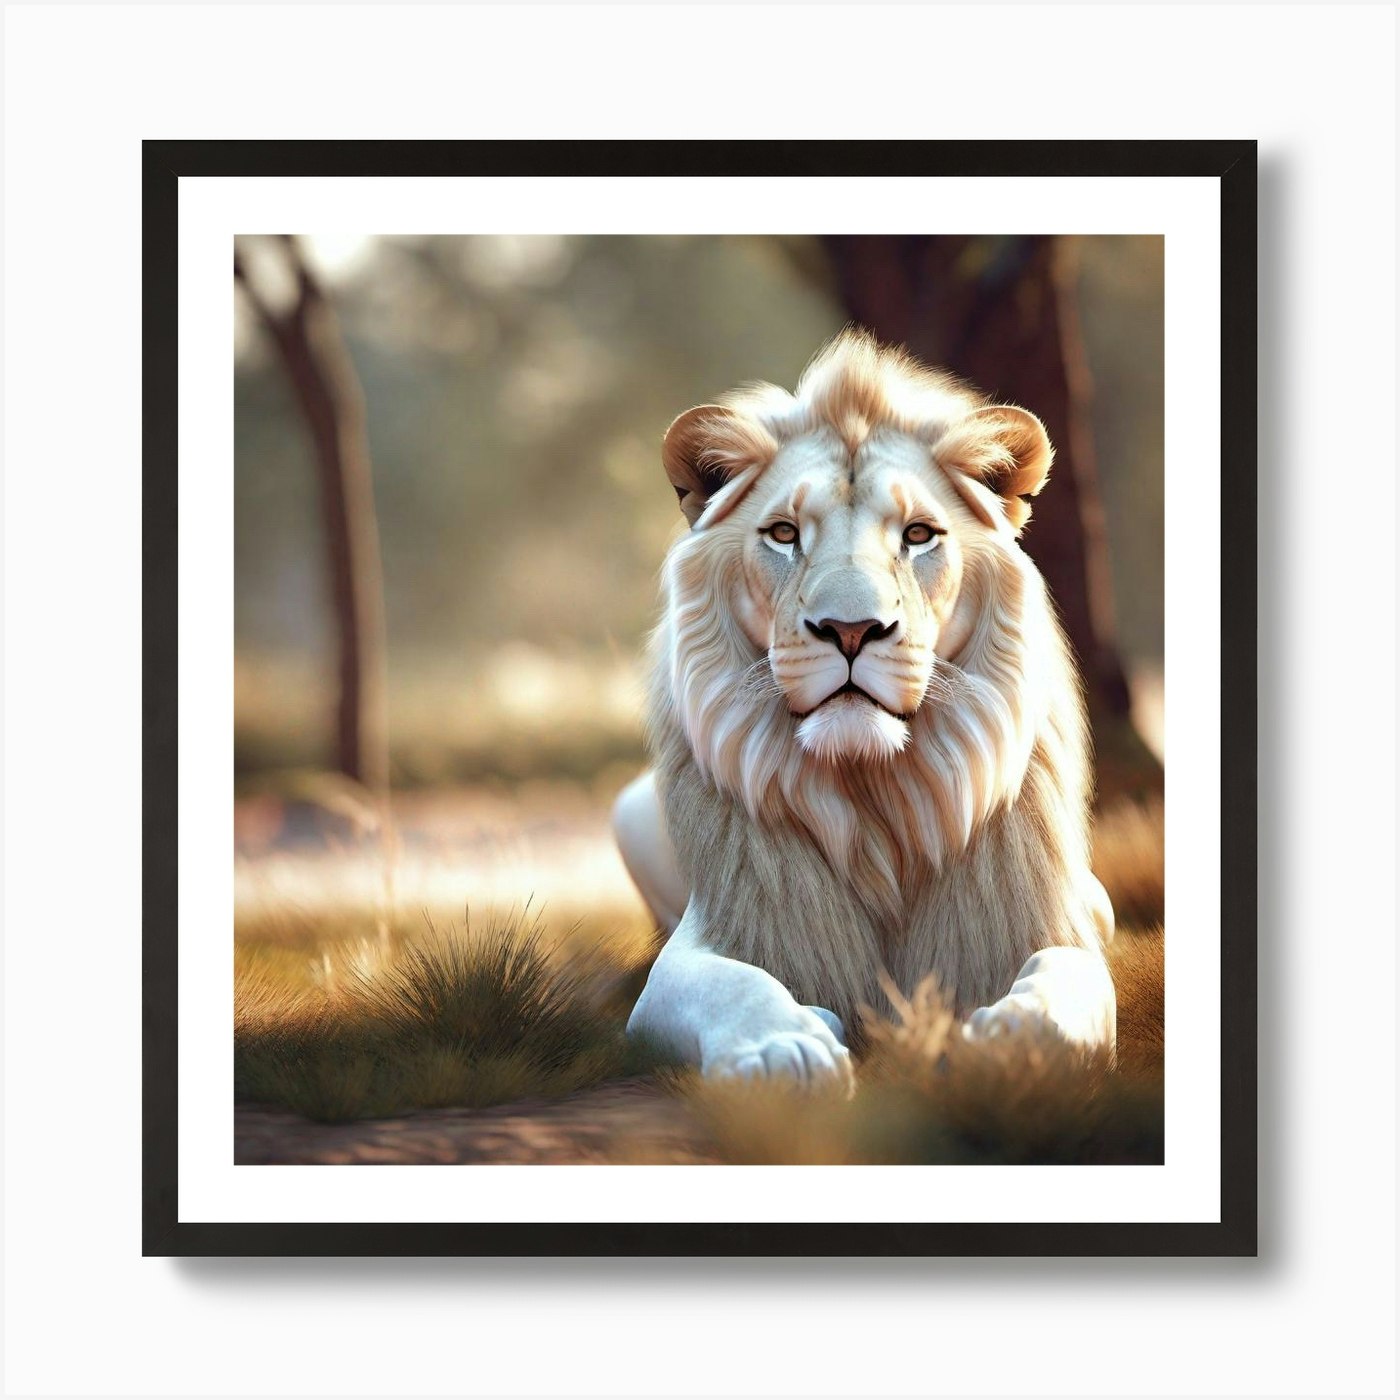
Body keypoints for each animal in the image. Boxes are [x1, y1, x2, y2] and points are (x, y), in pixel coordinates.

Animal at [614, 331, 1115, 1086]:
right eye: (783, 533)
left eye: (918, 534)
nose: (850, 630)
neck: (873, 798)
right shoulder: (700, 948)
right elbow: (731, 983)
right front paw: (782, 1050)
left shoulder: (1037, 923)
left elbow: (1069, 972)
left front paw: (1020, 1037)